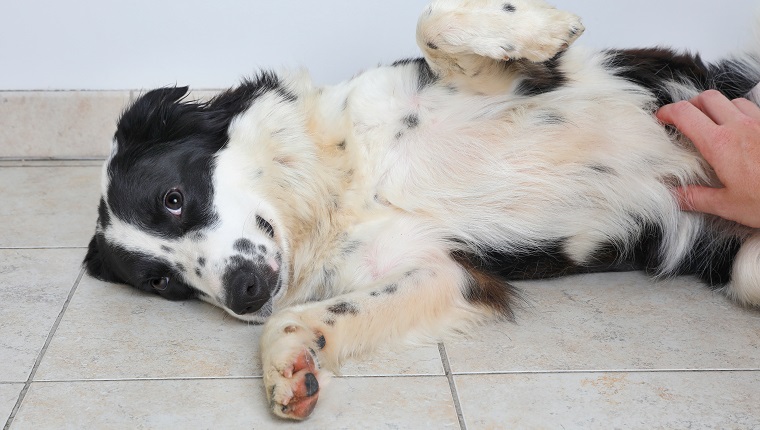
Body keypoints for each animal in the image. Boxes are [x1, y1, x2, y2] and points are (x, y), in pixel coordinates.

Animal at [83, 0, 760, 420]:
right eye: (164, 283)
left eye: (174, 199)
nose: (243, 293)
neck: (345, 185)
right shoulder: (439, 271)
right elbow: (302, 320)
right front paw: (289, 369)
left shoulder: (489, 83)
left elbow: (431, 22)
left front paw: (544, 27)